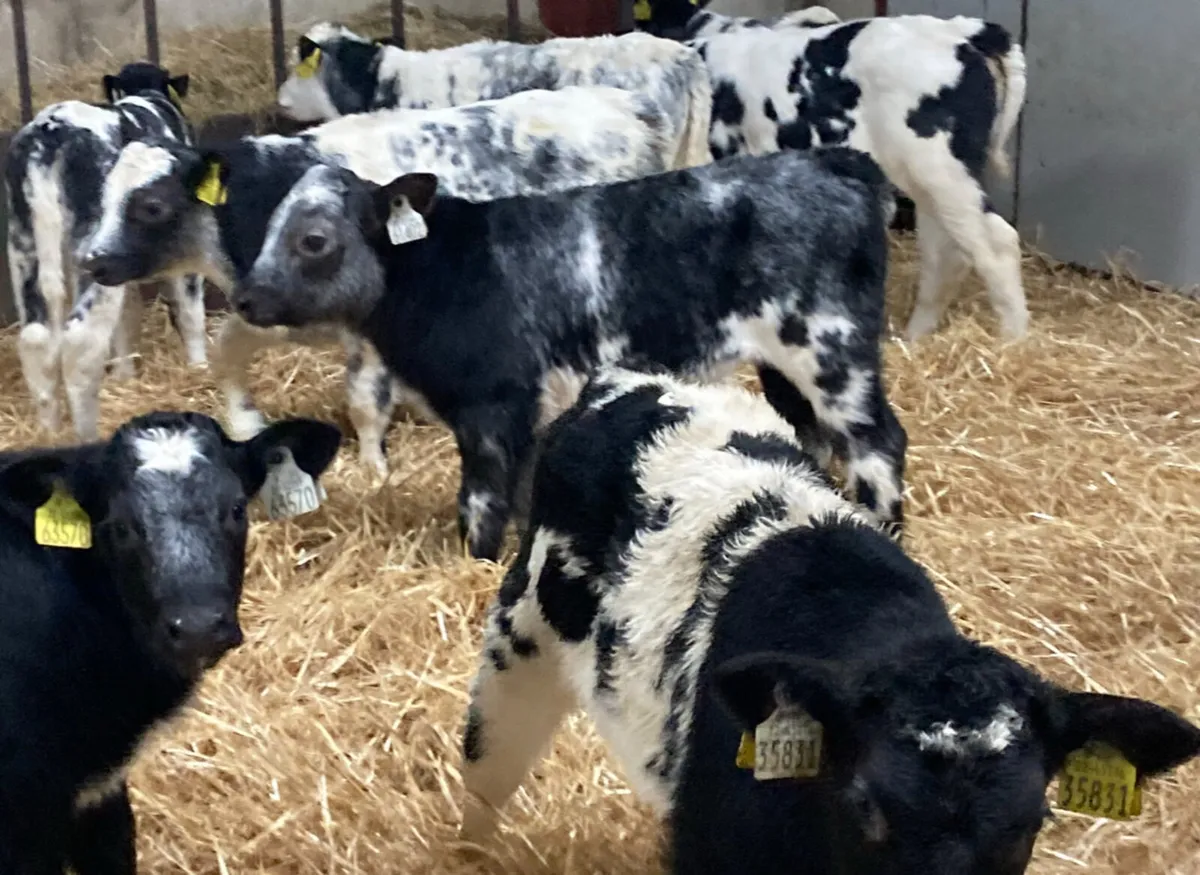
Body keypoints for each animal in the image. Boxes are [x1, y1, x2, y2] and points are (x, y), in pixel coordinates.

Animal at [4, 62, 209, 441]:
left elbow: (127, 317)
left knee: (37, 339)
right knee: (80, 341)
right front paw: (200, 367)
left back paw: (49, 434)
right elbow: (189, 309)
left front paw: (126, 377)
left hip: (24, 244)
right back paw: (86, 434)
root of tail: (49, 134)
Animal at [80, 84, 697, 476]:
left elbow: (363, 401)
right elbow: (228, 354)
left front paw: (375, 469)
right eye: (105, 194)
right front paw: (246, 420)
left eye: (151, 206)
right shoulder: (263, 307)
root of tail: (627, 104)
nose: (92, 260)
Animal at [230, 146, 908, 562]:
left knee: (877, 442)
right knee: (815, 437)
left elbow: (481, 498)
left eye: (314, 240)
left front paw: (477, 560)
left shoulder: (492, 407)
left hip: (833, 352)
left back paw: (884, 527)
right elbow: (526, 493)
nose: (244, 297)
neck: (442, 270)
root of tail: (836, 162)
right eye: (268, 228)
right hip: (786, 367)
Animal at [637, 8, 1030, 341]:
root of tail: (959, 31)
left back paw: (1013, 341)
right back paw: (915, 338)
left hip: (942, 170)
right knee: (943, 252)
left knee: (997, 243)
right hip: (929, 179)